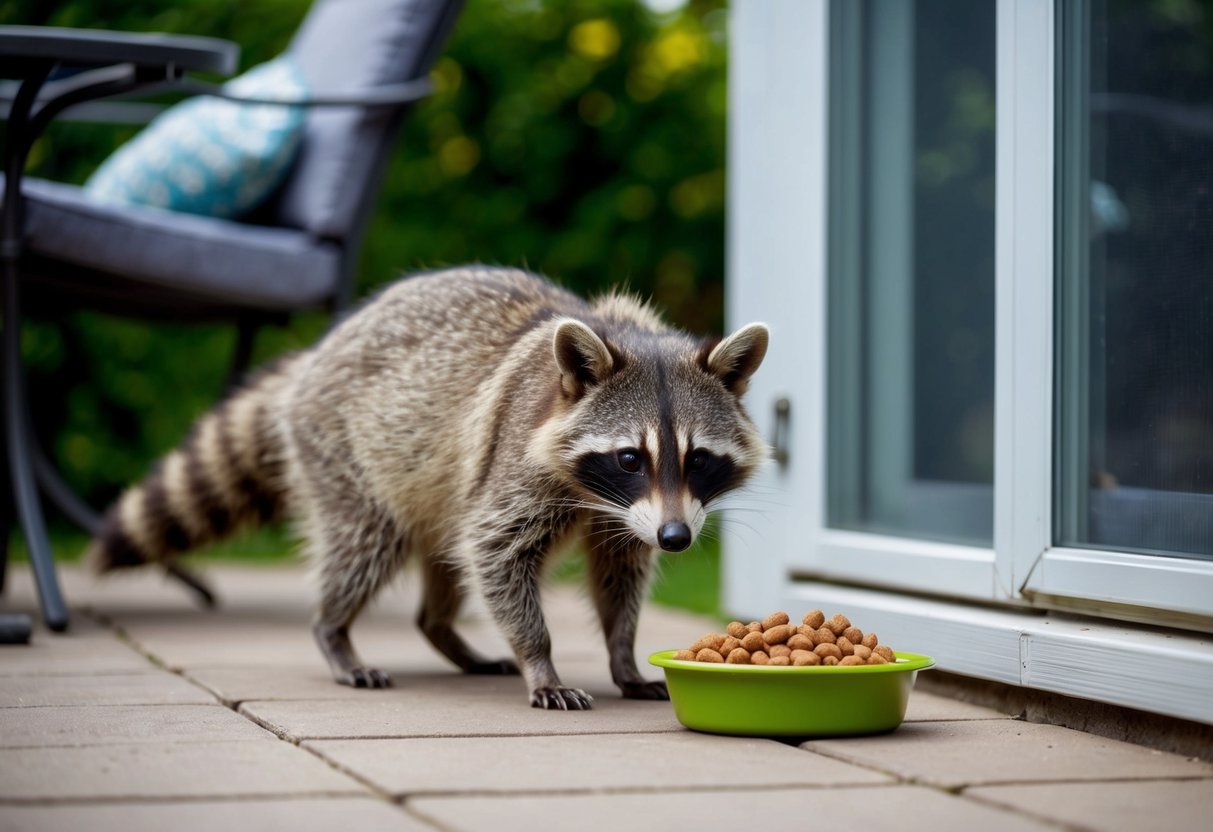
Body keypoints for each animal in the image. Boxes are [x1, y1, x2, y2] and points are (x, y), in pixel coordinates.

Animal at [86, 266, 770, 709]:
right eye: (630, 457)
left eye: (699, 460)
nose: (676, 538)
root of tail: (312, 358)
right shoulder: (516, 462)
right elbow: (497, 552)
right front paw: (540, 659)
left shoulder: (629, 517)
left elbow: (620, 573)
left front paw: (623, 654)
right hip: (347, 452)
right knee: (367, 546)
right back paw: (334, 631)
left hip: (434, 486)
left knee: (447, 554)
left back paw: (443, 631)